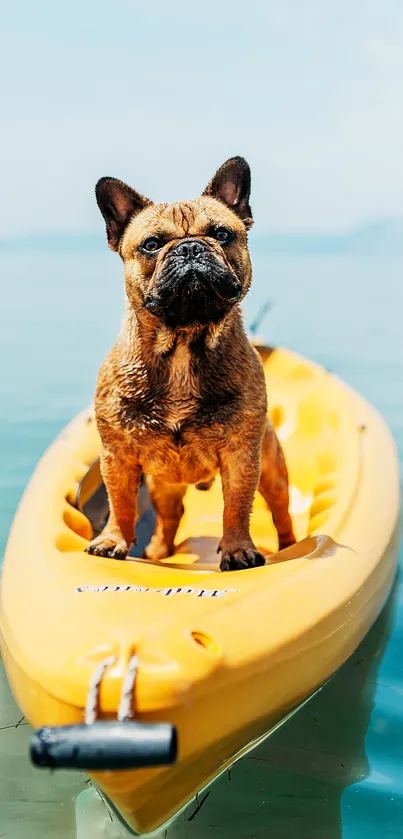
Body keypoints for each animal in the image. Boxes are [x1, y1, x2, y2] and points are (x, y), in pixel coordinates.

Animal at [87, 156, 296, 572]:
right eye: (151, 245)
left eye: (222, 234)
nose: (190, 248)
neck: (184, 340)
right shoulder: (117, 455)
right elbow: (120, 503)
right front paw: (113, 540)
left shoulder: (241, 456)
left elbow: (236, 507)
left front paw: (238, 549)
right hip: (163, 486)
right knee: (169, 520)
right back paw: (157, 553)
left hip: (273, 471)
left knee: (281, 513)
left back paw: (290, 546)